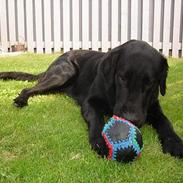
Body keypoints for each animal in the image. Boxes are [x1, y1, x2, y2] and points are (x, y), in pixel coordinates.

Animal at [0, 40, 182, 159]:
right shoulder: (90, 102)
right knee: (28, 89)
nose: (130, 119)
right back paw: (21, 100)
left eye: (150, 83)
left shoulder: (153, 107)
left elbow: (165, 121)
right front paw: (100, 141)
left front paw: (174, 142)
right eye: (122, 78)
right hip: (64, 72)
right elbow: (96, 118)